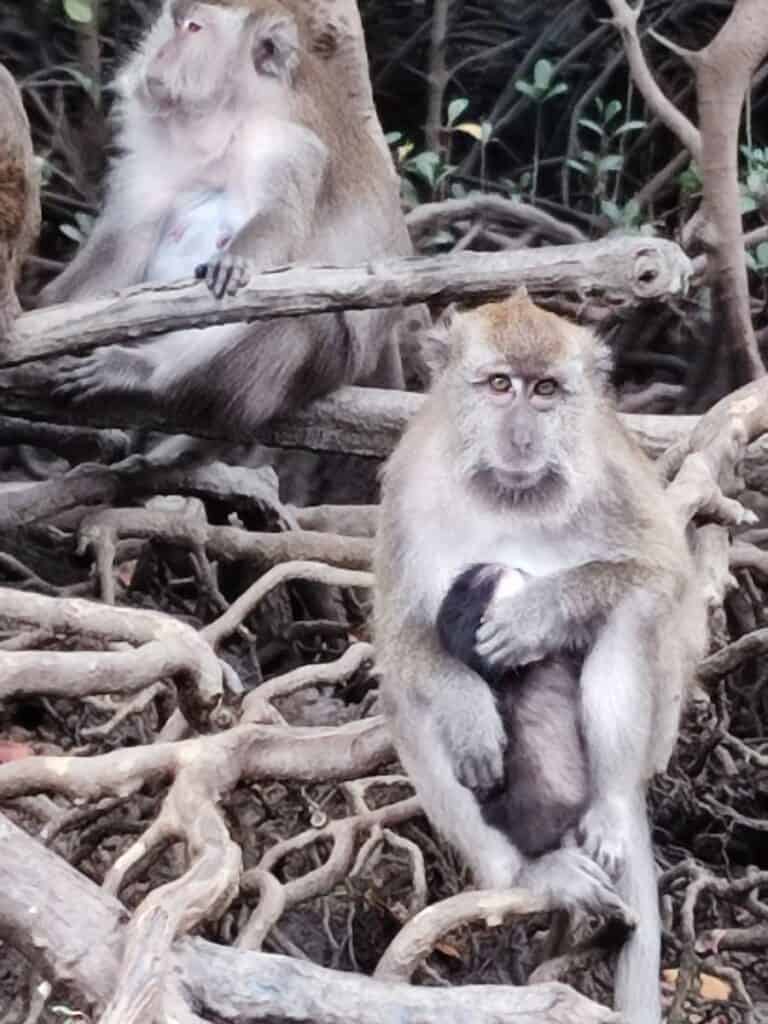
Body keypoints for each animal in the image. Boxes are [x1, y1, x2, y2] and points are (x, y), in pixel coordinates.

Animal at [40, 0, 417, 474]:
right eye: (172, 23)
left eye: (194, 28)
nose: (158, 56)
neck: (222, 122)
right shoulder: (153, 146)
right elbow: (121, 245)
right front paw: (45, 317)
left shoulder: (289, 144)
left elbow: (280, 222)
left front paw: (236, 261)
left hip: (330, 362)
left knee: (300, 318)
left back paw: (144, 375)